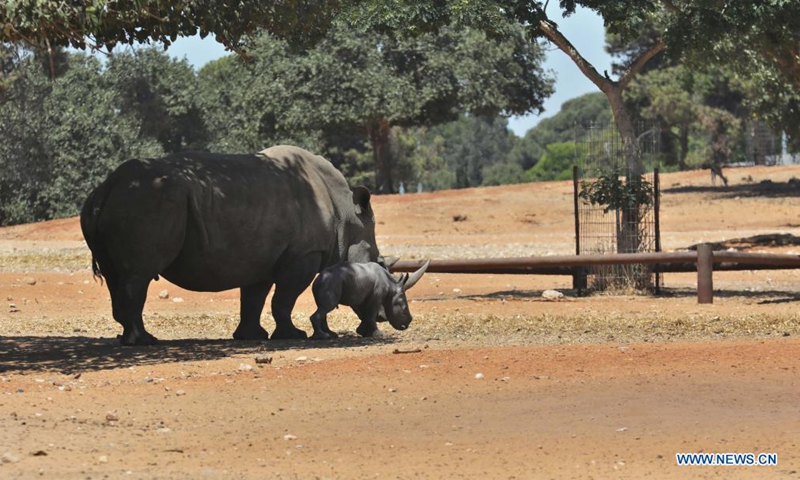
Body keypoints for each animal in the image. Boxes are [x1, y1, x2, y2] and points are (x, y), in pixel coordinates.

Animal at [80, 145, 385, 345]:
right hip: (149, 203)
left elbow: (254, 298)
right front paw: (292, 336)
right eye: (379, 263)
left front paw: (251, 337)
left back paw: (129, 338)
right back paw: (145, 341)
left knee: (116, 275)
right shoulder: (303, 254)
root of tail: (107, 187)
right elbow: (284, 298)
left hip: (121, 202)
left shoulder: (263, 256)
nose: (381, 319)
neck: (346, 215)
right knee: (138, 275)